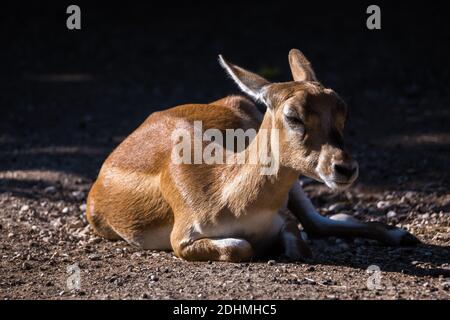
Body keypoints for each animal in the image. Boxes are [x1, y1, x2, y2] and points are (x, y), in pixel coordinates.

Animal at [85, 48, 418, 262]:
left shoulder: (284, 217)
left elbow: (300, 243)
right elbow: (241, 247)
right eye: (293, 116)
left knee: (318, 222)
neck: (229, 199)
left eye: (343, 111)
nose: (344, 168)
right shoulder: (181, 238)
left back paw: (403, 236)